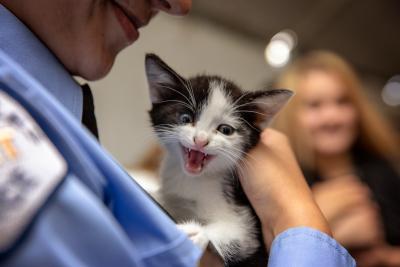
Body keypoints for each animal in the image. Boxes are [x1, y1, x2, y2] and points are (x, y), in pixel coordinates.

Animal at [145, 53, 292, 266]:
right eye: (185, 118)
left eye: (225, 130)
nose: (200, 140)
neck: (194, 180)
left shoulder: (247, 223)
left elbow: (243, 240)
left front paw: (194, 233)